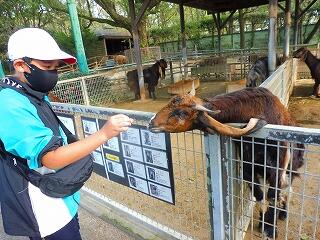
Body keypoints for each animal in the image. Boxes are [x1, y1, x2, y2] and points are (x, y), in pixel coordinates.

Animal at [149, 86, 304, 238]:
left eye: (182, 113)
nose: (151, 123)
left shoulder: (278, 166)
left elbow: (273, 196)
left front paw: (270, 230)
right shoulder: (248, 167)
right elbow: (259, 195)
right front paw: (262, 223)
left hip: (290, 169)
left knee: (287, 190)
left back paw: (283, 214)